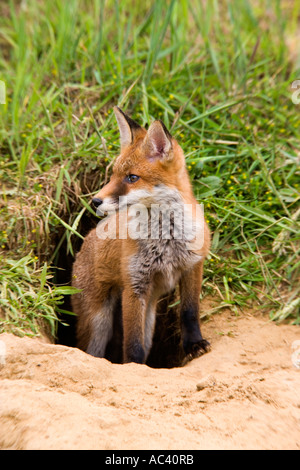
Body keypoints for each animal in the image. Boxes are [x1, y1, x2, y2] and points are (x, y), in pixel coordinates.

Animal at [71, 108, 210, 366]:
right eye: (113, 174)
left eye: (132, 178)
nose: (95, 201)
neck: (166, 239)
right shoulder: (134, 286)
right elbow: (132, 342)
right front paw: (133, 366)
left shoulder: (192, 267)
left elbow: (189, 313)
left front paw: (194, 344)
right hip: (99, 321)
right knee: (92, 350)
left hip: (150, 311)